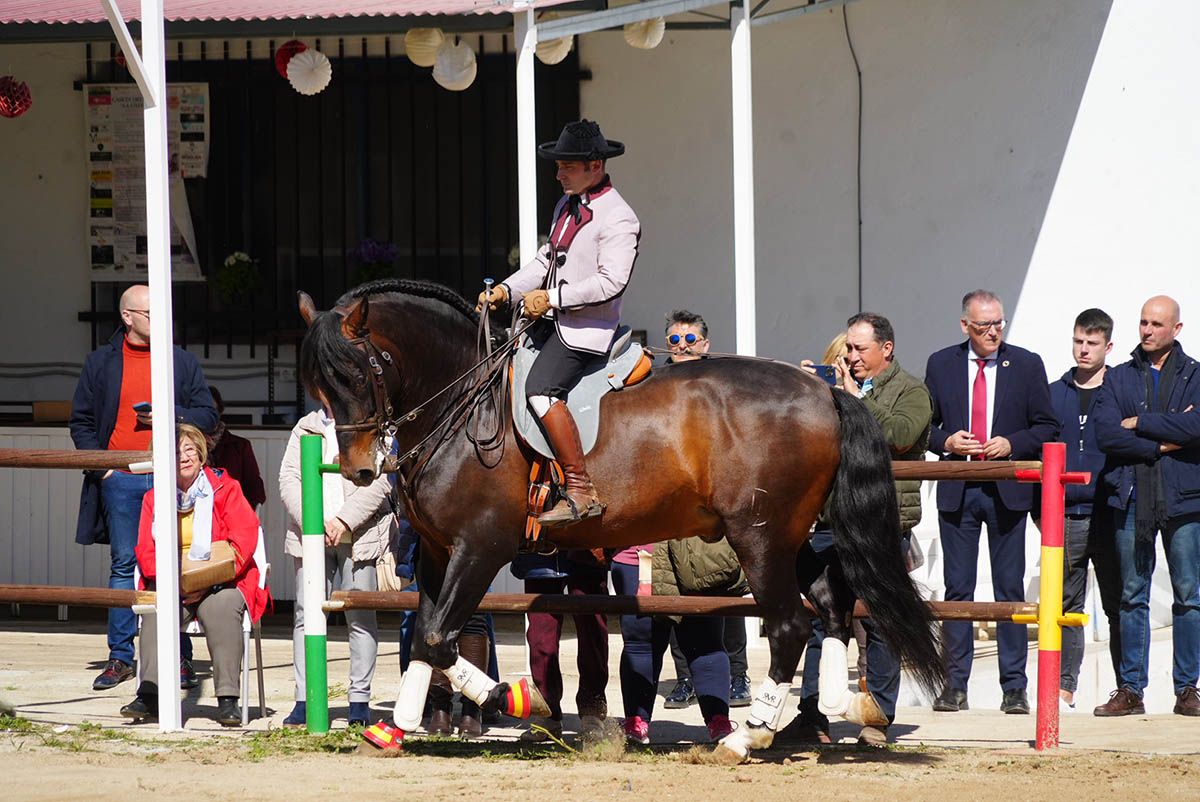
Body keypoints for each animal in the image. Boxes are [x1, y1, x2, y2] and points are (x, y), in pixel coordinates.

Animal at [295, 280, 940, 758]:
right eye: (317, 384)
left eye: (359, 373)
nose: (356, 469)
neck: (463, 402)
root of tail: (823, 389)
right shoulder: (435, 549)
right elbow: (428, 639)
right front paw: (393, 729)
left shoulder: (480, 546)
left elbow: (436, 637)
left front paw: (520, 700)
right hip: (786, 533)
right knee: (832, 602)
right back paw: (835, 706)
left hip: (758, 536)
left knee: (789, 624)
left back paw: (747, 736)